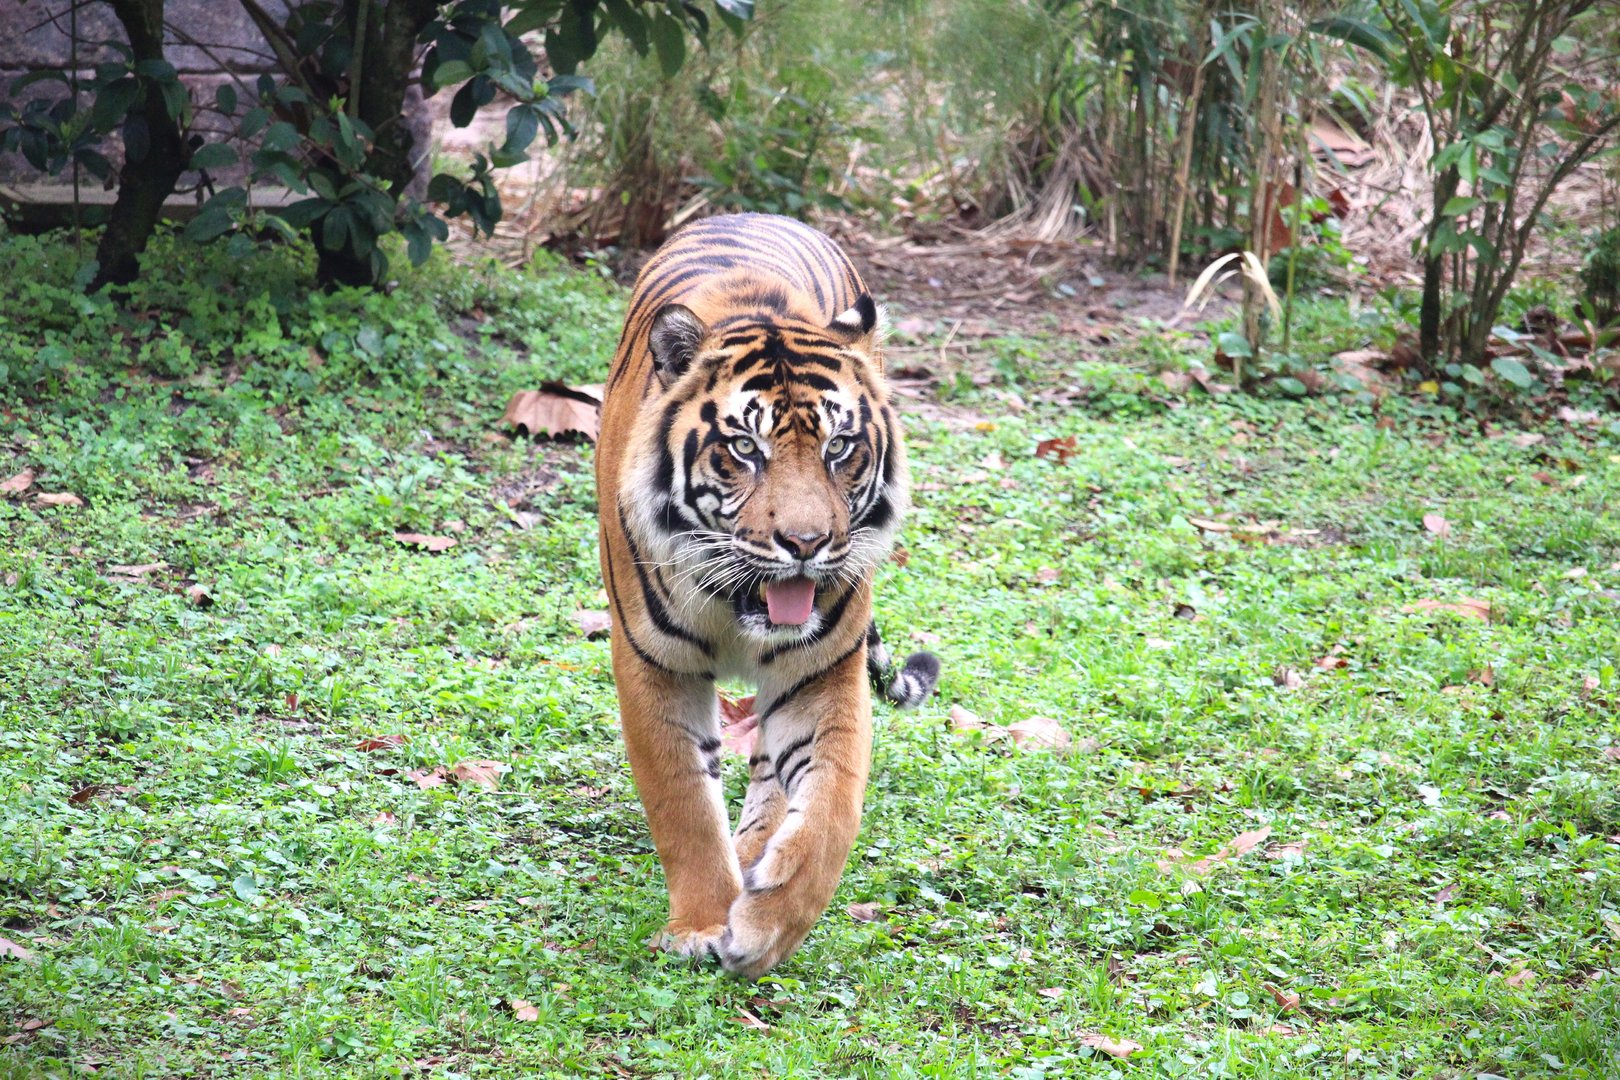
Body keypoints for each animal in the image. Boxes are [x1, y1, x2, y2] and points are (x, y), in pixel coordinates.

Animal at [595, 212, 940, 978]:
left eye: (840, 447)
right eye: (745, 450)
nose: (806, 543)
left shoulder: (822, 672)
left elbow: (832, 809)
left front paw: (765, 929)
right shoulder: (653, 665)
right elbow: (683, 804)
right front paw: (699, 924)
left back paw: (755, 854)